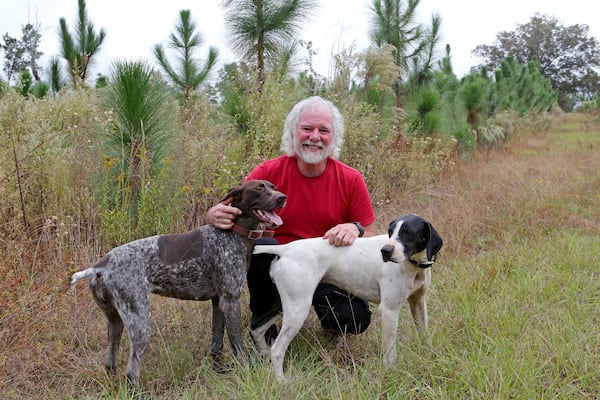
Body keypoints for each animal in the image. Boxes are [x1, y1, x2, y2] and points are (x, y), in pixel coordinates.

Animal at [70, 180, 286, 384]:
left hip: (115, 321)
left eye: (273, 186)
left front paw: (220, 370)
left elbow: (217, 342)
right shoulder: (231, 300)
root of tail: (101, 266)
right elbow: (237, 344)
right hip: (140, 320)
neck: (233, 233)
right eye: (259, 188)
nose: (282, 197)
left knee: (110, 362)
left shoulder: (219, 302)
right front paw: (244, 371)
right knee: (131, 371)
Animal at [251, 212, 442, 378]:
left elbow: (424, 335)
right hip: (298, 309)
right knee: (277, 349)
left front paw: (428, 356)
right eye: (391, 231)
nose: (385, 251)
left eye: (407, 232)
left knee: (257, 329)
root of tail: (286, 249)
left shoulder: (418, 303)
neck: (414, 265)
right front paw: (391, 371)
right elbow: (390, 351)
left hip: (285, 304)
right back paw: (282, 382)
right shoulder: (389, 310)